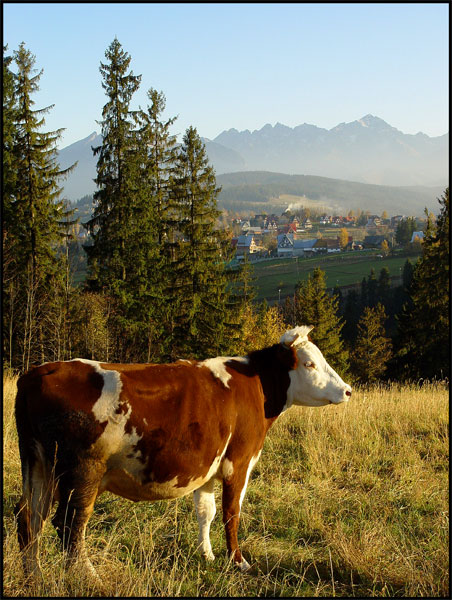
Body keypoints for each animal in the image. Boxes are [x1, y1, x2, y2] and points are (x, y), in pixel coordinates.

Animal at [14, 324, 352, 580]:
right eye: (309, 364)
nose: (347, 390)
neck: (256, 386)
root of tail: (39, 372)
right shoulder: (239, 461)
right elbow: (232, 512)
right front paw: (238, 561)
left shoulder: (208, 467)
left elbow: (207, 512)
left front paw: (207, 555)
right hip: (82, 470)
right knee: (69, 522)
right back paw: (88, 577)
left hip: (38, 465)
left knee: (29, 516)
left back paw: (34, 577)